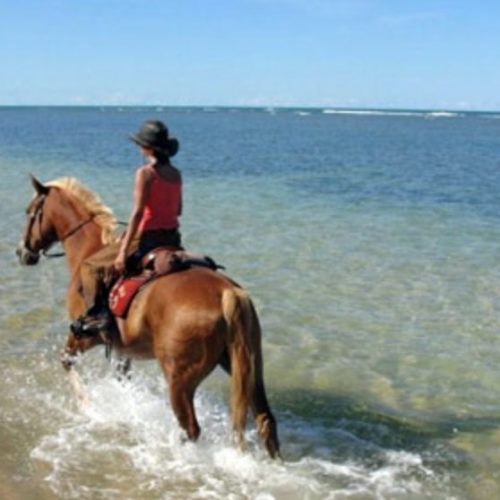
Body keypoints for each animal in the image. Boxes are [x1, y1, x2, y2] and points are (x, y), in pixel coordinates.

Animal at [16, 176, 282, 458]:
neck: (90, 250)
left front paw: (86, 403)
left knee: (190, 428)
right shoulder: (123, 350)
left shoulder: (83, 336)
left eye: (30, 212)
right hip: (247, 368)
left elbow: (67, 361)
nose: (21, 252)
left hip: (179, 380)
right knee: (265, 420)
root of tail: (227, 292)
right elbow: (121, 379)